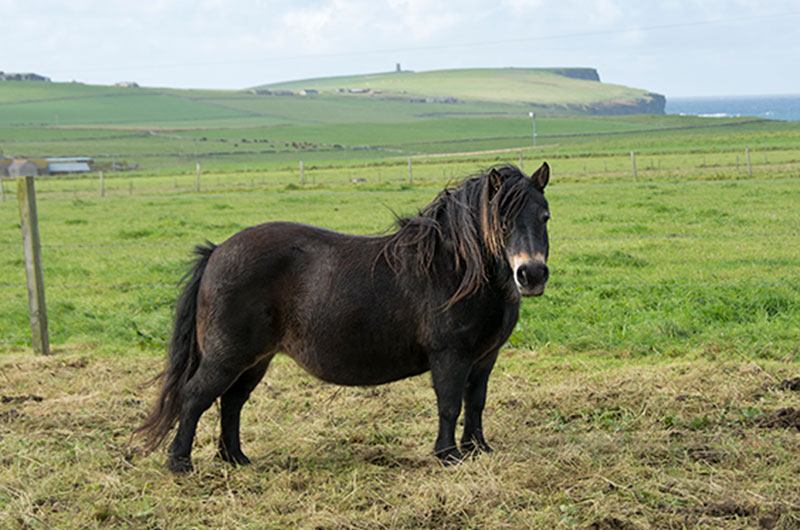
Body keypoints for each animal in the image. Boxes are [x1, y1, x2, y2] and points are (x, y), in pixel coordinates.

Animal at [137, 163, 551, 473]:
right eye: (502, 221)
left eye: (545, 216)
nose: (531, 274)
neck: (454, 269)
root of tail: (217, 251)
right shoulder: (450, 355)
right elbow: (449, 404)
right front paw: (448, 456)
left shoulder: (484, 358)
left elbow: (475, 402)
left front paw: (478, 448)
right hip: (227, 356)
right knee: (196, 396)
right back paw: (180, 463)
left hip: (254, 359)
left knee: (233, 401)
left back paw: (235, 458)